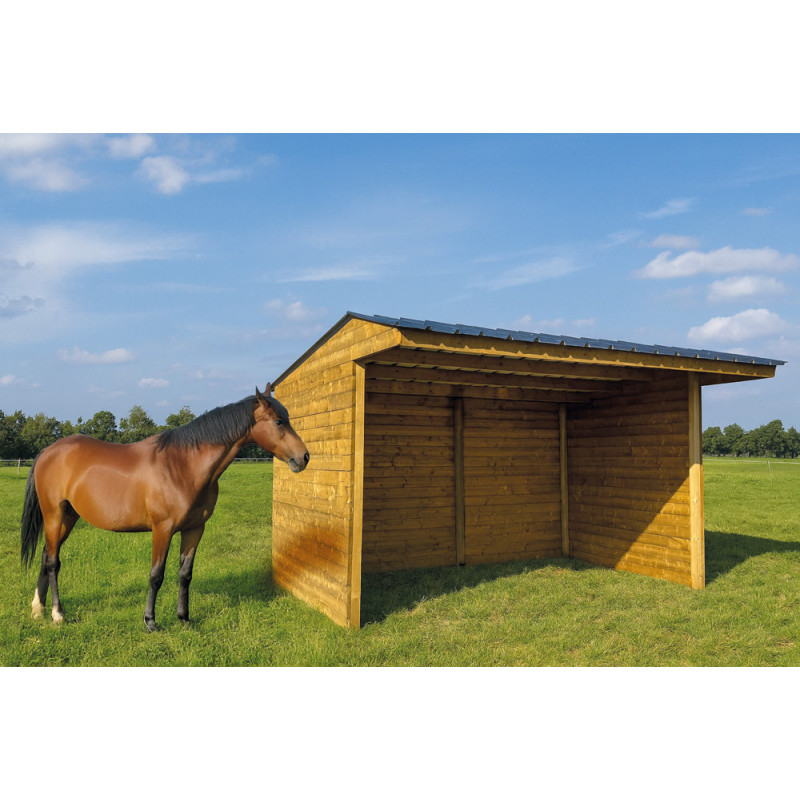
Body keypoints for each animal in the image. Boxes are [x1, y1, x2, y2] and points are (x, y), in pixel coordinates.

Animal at [20, 383, 308, 632]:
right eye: (279, 421)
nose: (304, 457)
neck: (182, 467)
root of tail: (48, 451)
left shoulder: (194, 529)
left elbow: (185, 574)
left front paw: (184, 618)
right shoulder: (163, 529)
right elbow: (156, 575)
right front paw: (150, 621)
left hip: (68, 516)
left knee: (46, 555)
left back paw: (38, 609)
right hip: (54, 514)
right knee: (53, 562)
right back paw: (58, 613)